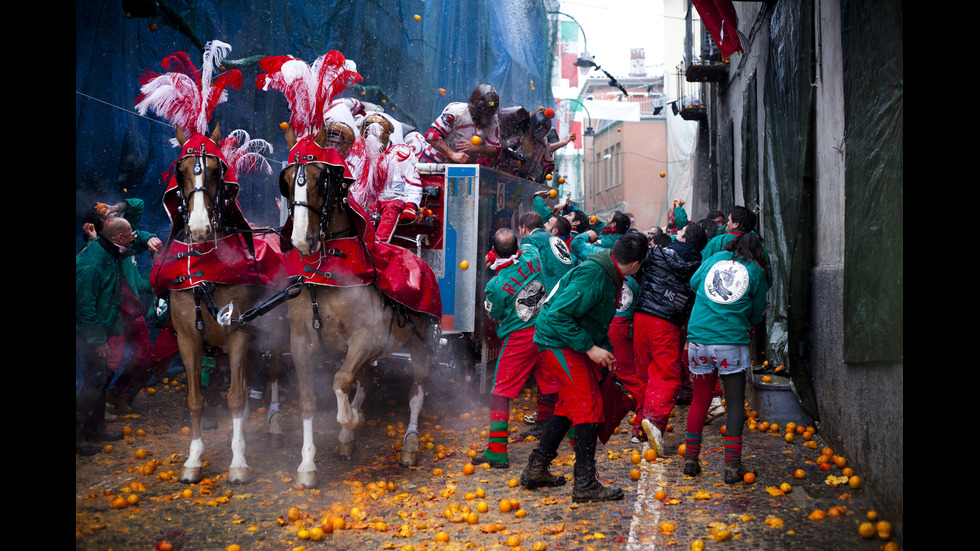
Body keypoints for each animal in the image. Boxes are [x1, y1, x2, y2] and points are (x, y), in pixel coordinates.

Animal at [282, 125, 438, 488]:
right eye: (287, 180)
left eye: (322, 181)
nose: (300, 240)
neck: (327, 277)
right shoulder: (302, 342)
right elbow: (310, 399)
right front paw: (307, 464)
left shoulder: (364, 338)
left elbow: (340, 381)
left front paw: (352, 419)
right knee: (366, 380)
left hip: (420, 344)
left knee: (416, 393)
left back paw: (410, 443)